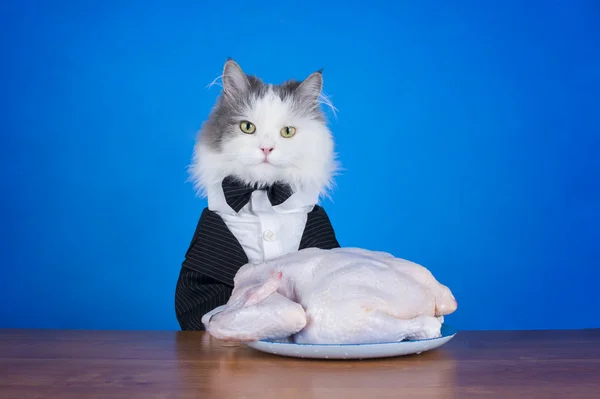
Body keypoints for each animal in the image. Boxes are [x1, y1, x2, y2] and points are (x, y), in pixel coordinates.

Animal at [176, 59, 340, 332]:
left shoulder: (319, 230)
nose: (266, 148)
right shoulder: (204, 255)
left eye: (287, 132)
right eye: (247, 127)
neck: (263, 191)